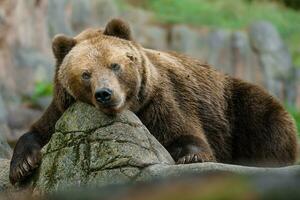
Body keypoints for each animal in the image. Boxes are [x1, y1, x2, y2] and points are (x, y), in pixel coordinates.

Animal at [8, 18, 298, 184]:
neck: (133, 107)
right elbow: (37, 131)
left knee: (268, 121)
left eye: (115, 65)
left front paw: (190, 156)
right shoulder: (62, 108)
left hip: (233, 103)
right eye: (85, 74)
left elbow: (184, 133)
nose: (105, 94)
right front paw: (22, 166)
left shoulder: (161, 102)